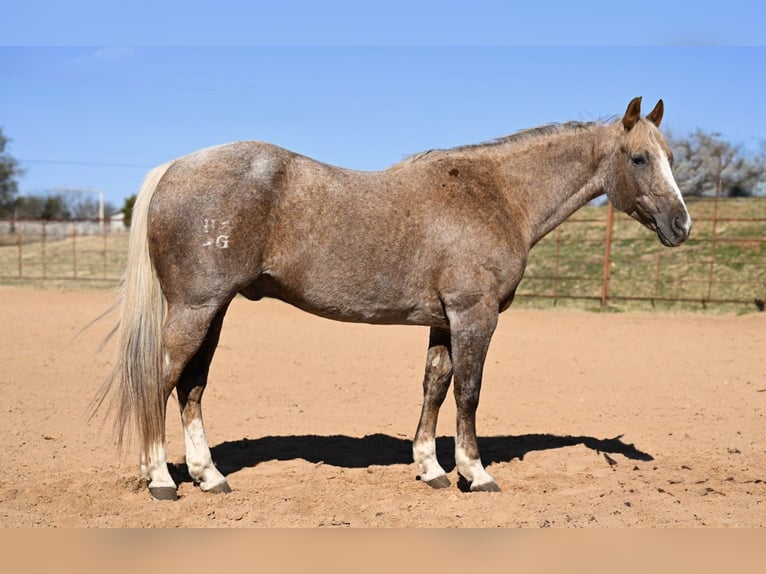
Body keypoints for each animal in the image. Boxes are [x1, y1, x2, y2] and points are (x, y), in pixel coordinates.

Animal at [96, 97, 691, 500]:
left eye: (669, 156)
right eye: (640, 159)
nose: (681, 225)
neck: (497, 194)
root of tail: (175, 167)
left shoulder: (444, 321)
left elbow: (435, 387)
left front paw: (431, 468)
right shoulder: (474, 316)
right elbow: (469, 393)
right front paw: (475, 473)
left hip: (214, 311)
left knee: (191, 387)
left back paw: (208, 476)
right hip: (196, 310)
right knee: (160, 381)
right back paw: (161, 480)